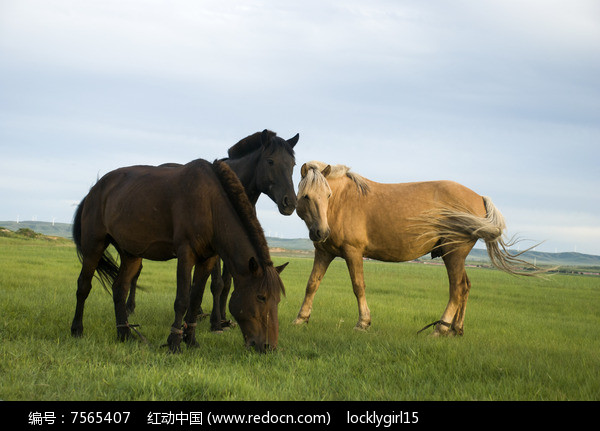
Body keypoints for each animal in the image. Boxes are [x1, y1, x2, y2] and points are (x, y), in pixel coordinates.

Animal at [70, 159, 286, 354]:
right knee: (83, 286)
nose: (270, 346)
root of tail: (94, 190)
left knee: (119, 289)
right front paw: (174, 343)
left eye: (277, 300)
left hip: (131, 254)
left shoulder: (207, 260)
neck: (210, 204)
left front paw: (190, 340)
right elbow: (182, 299)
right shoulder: (185, 254)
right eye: (261, 297)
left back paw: (124, 334)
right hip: (94, 245)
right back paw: (77, 330)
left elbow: (195, 299)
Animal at [123, 130, 298, 332]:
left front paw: (224, 318)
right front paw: (216, 322)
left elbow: (227, 283)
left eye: (293, 164)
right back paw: (130, 307)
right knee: (136, 272)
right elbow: (217, 284)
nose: (290, 202)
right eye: (270, 161)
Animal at [292, 162, 540, 338]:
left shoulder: (353, 253)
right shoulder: (324, 252)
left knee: (457, 289)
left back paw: (440, 329)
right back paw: (455, 329)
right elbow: (312, 284)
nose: (321, 232)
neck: (342, 202)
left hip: (453, 254)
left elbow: (358, 286)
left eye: (328, 195)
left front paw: (363, 323)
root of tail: (479, 197)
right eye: (306, 196)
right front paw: (301, 319)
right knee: (466, 286)